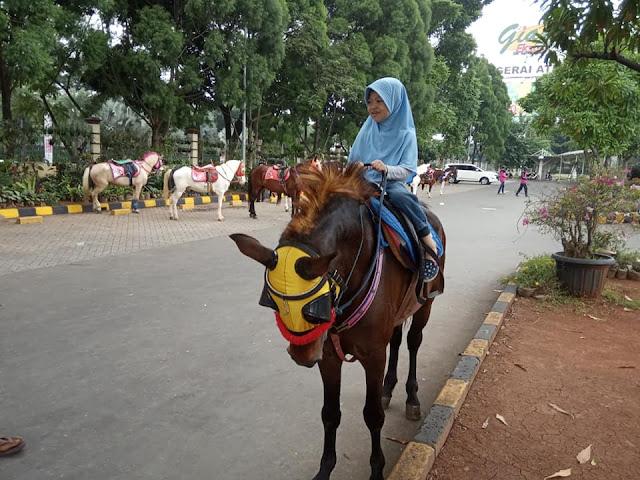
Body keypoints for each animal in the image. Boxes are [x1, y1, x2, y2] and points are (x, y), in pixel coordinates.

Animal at [230, 163, 444, 478]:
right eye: (274, 305)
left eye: (314, 309)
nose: (302, 356)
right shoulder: (328, 355)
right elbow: (330, 414)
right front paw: (325, 469)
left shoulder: (373, 355)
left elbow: (373, 416)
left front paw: (376, 470)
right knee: (395, 340)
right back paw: (388, 387)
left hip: (425, 304)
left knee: (413, 342)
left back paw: (411, 397)